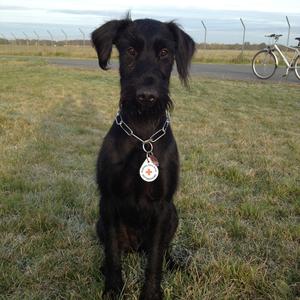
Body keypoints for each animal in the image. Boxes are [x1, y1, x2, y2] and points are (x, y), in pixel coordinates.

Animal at [91, 17, 195, 300]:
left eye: (165, 52)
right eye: (130, 51)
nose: (147, 96)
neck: (142, 133)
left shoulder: (162, 206)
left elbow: (155, 258)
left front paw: (150, 293)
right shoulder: (109, 201)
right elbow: (113, 253)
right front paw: (113, 288)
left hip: (173, 216)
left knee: (162, 250)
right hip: (99, 222)